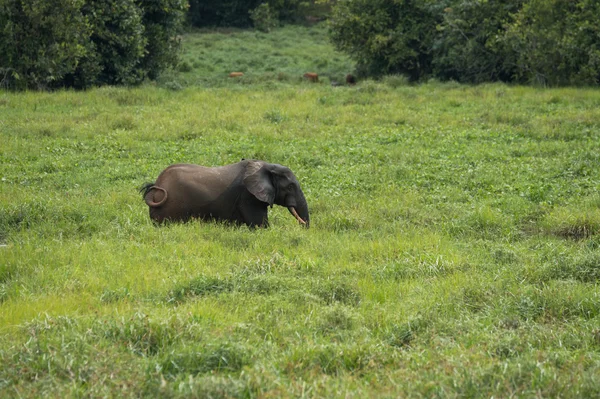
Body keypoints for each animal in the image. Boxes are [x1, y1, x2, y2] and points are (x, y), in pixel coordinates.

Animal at [141, 159, 310, 228]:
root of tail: (157, 184)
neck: (266, 165)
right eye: (290, 187)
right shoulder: (248, 196)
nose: (304, 227)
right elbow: (260, 225)